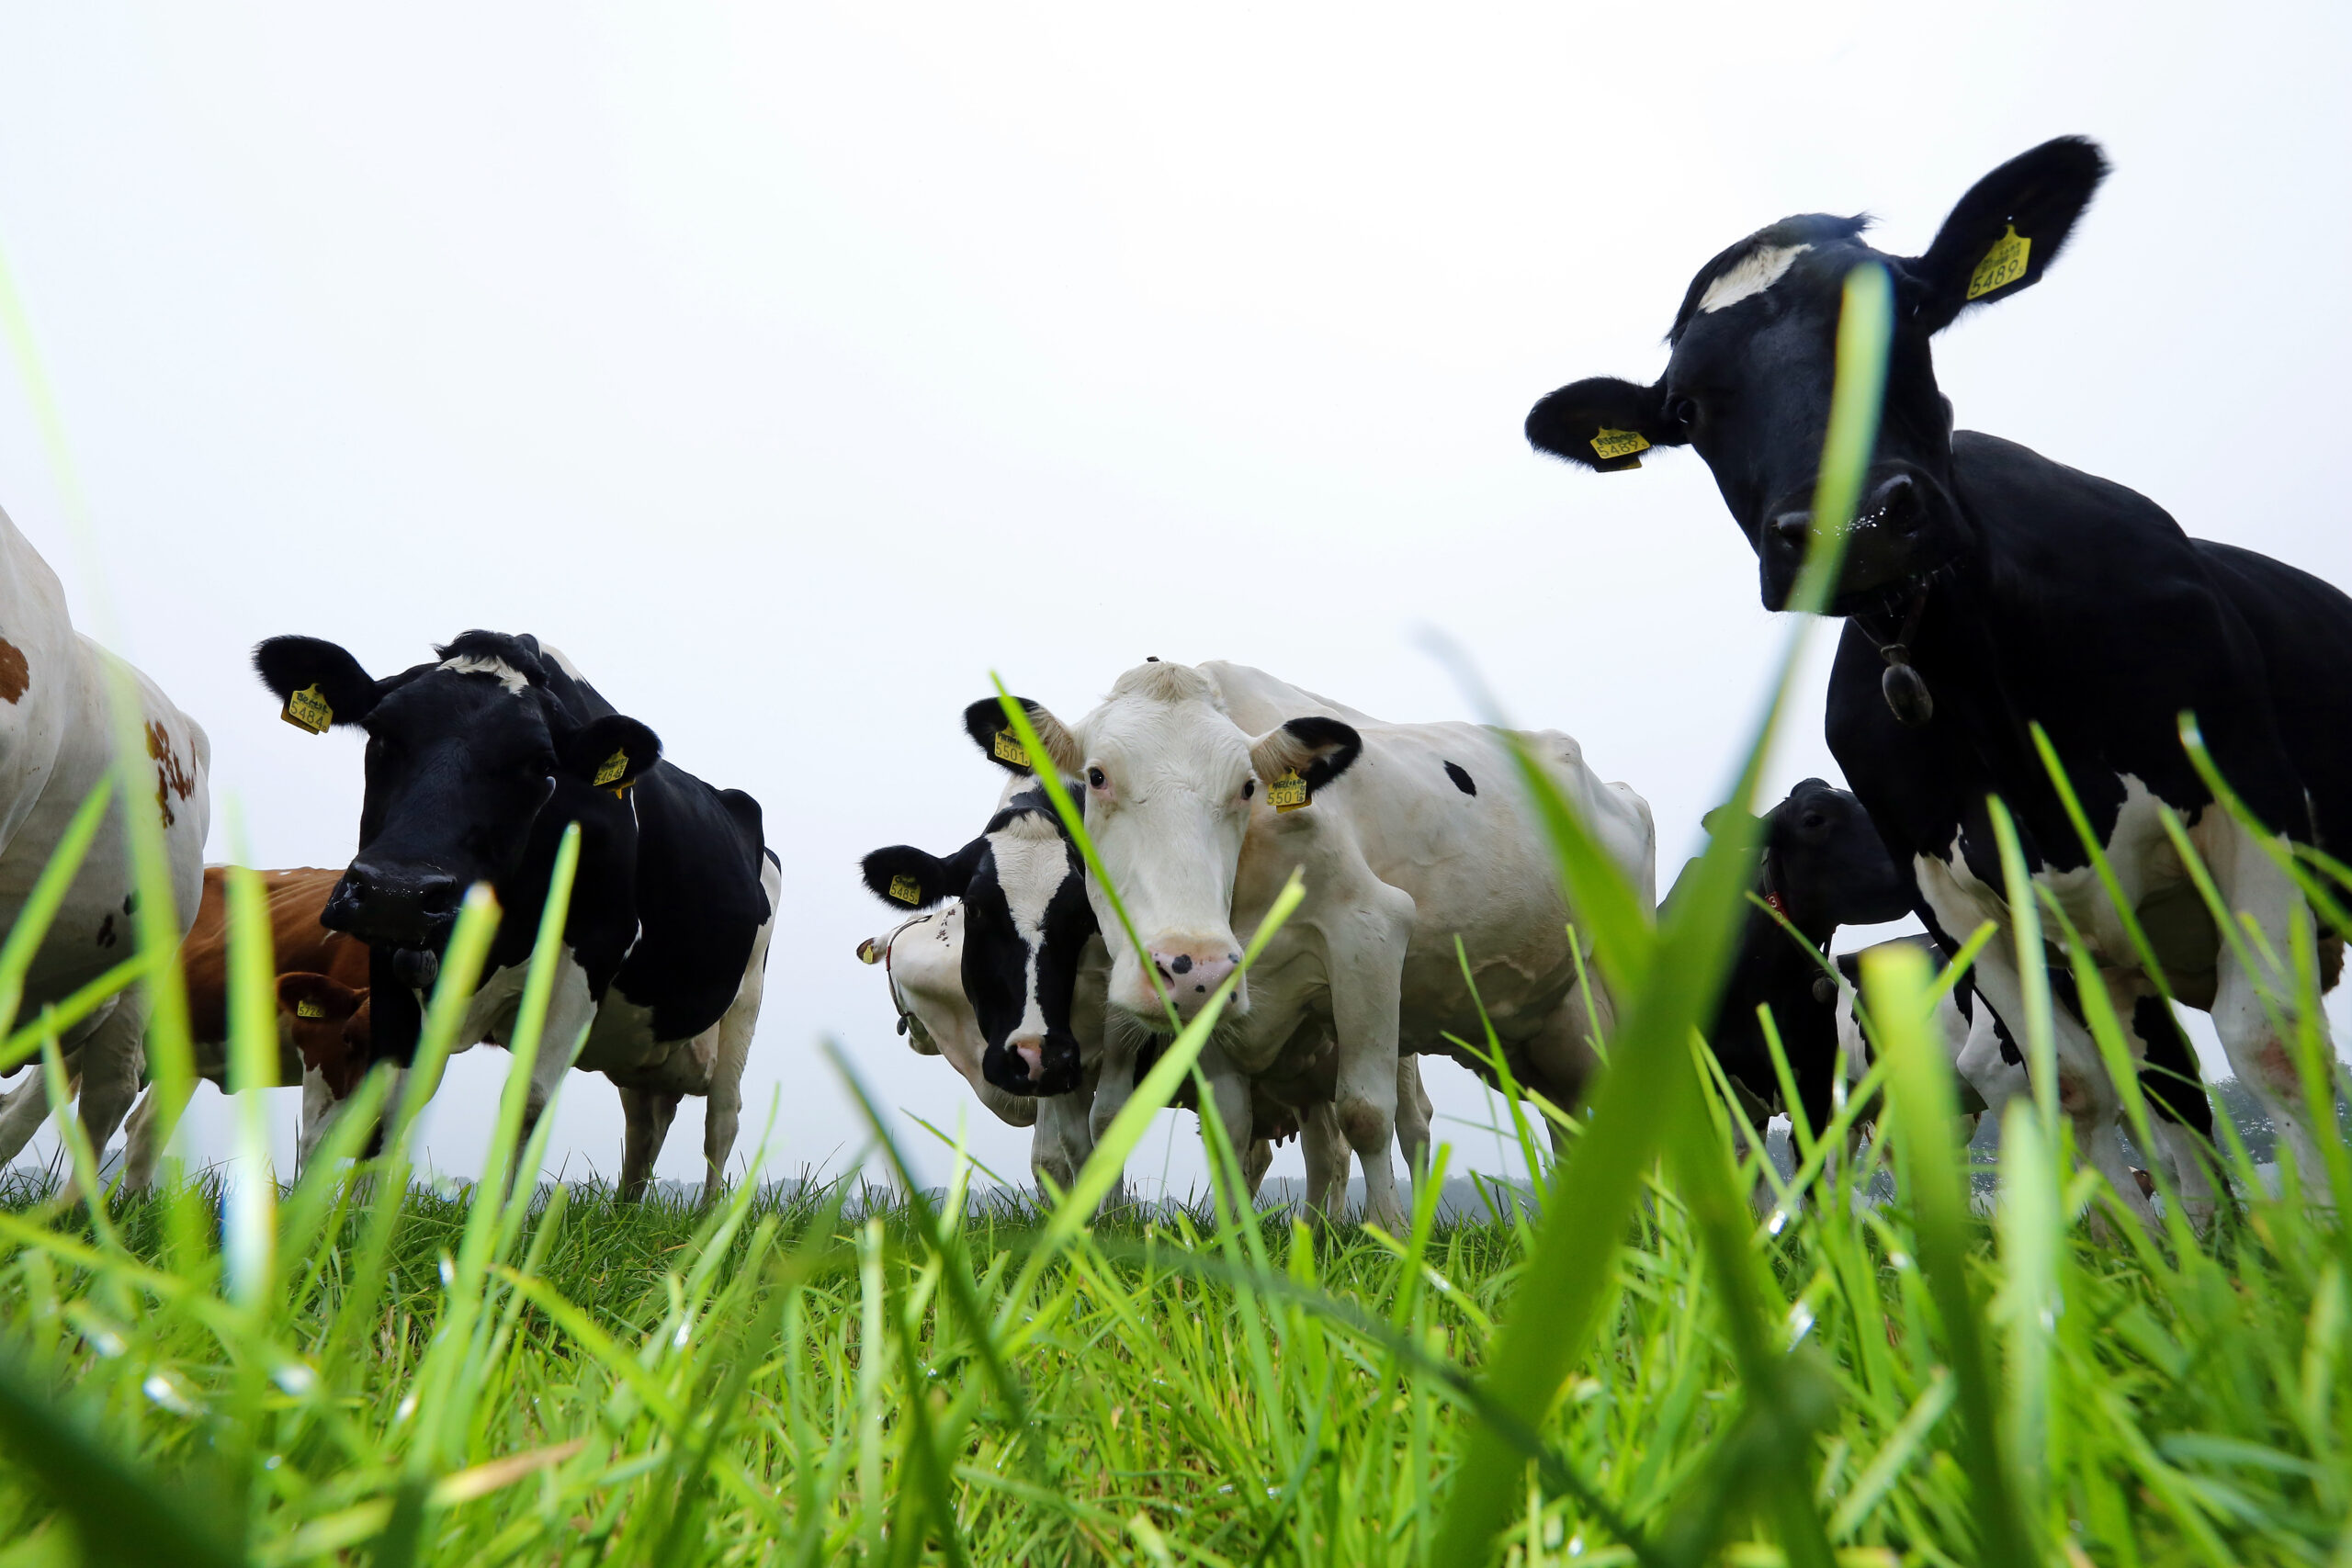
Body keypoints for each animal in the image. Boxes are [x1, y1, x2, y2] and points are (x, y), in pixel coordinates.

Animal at [254, 625, 780, 1189]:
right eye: (379, 733)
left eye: (541, 764)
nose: (400, 890)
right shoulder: (390, 951)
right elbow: (392, 1098)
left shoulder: (590, 952)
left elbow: (527, 1102)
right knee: (645, 1123)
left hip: (746, 1002)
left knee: (722, 1120)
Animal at [973, 658, 1656, 1232]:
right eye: (1096, 777)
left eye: (1248, 787)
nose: (1190, 966)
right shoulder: (1220, 1001)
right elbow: (1230, 1126)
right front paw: (1235, 1238)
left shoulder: (1371, 931)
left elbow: (1366, 1111)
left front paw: (1389, 1236)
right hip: (1540, 1030)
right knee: (1568, 1117)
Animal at [1514, 135, 2342, 1222]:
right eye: (1685, 408)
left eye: (1907, 308)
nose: (1854, 523)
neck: (1983, 679)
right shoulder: (1967, 909)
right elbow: (2083, 1090)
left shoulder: (2248, 803)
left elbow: (2268, 1042)